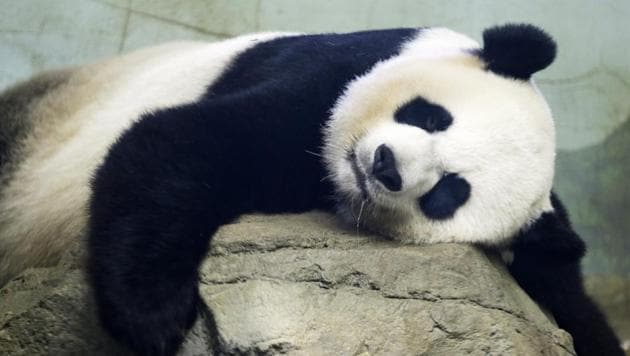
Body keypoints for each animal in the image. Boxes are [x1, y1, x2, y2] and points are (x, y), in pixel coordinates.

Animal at [0, 23, 624, 354]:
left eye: (449, 193)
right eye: (430, 116)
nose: (385, 166)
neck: (330, 179)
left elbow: (568, 293)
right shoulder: (329, 74)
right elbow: (181, 140)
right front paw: (154, 316)